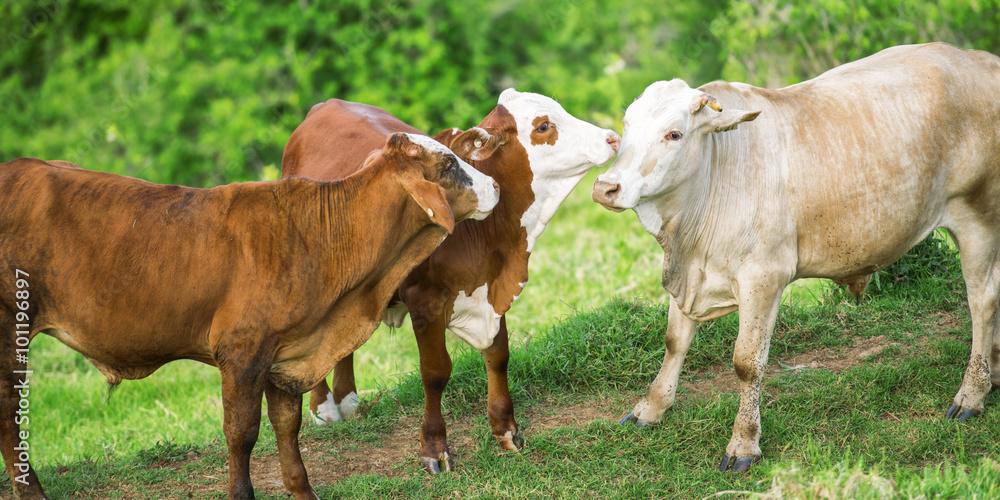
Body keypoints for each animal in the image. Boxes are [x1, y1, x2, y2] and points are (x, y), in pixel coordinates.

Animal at [0, 132, 498, 499]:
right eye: (448, 164)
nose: (495, 186)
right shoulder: (243, 353)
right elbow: (241, 433)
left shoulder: (287, 356)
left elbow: (287, 426)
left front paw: (302, 491)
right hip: (10, 330)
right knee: (9, 414)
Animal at [283, 89, 620, 472]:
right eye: (543, 126)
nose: (612, 138)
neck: (490, 234)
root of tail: (325, 105)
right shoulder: (425, 301)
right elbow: (435, 372)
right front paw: (434, 447)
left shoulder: (492, 290)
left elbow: (498, 356)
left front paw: (505, 429)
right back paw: (324, 407)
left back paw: (348, 400)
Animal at [591, 42, 1000, 472]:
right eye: (626, 125)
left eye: (674, 133)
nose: (606, 187)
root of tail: (981, 59)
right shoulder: (692, 275)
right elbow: (674, 340)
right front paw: (651, 408)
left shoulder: (763, 278)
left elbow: (746, 361)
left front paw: (743, 443)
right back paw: (994, 372)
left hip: (977, 215)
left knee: (982, 300)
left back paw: (971, 394)